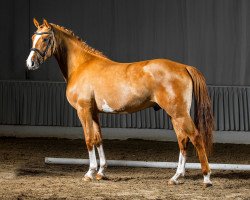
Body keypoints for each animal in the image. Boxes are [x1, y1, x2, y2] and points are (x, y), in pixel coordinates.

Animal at [25, 18, 213, 186]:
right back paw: (176, 177)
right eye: (33, 37)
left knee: (195, 137)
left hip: (178, 113)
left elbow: (88, 139)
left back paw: (206, 178)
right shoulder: (94, 112)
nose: (30, 63)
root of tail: (183, 67)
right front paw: (101, 172)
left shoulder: (83, 110)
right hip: (175, 115)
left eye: (45, 39)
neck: (82, 65)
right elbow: (98, 139)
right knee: (183, 140)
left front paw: (90, 173)